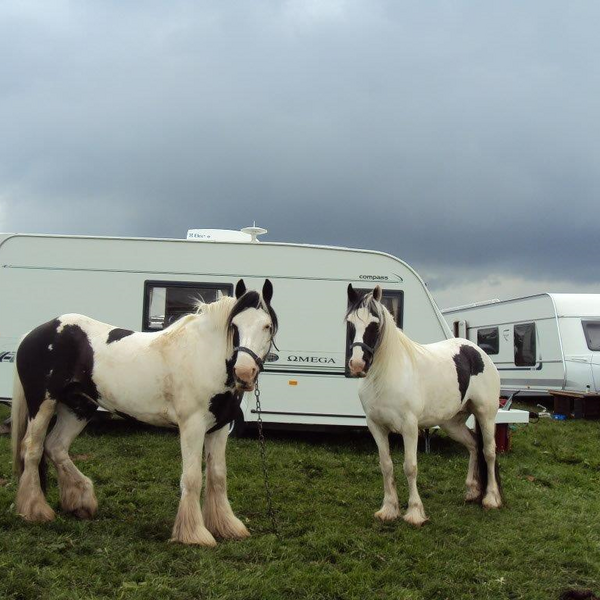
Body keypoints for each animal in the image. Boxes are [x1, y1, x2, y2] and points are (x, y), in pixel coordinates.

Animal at [12, 278, 276, 548]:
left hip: (78, 409)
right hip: (43, 405)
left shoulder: (219, 427)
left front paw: (226, 526)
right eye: (234, 326)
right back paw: (35, 510)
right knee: (32, 449)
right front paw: (193, 534)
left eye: (266, 326)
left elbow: (218, 476)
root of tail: (34, 333)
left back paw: (80, 502)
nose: (244, 373)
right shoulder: (192, 426)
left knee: (56, 447)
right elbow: (192, 478)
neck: (204, 356)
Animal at [344, 284, 504, 524]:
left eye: (374, 324)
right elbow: (386, 465)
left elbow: (410, 467)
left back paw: (491, 498)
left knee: (489, 451)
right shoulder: (376, 426)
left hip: (486, 415)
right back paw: (472, 491)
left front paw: (414, 512)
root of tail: (477, 351)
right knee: (473, 445)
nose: (356, 365)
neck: (386, 374)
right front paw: (389, 509)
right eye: (350, 323)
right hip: (452, 424)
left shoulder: (410, 427)